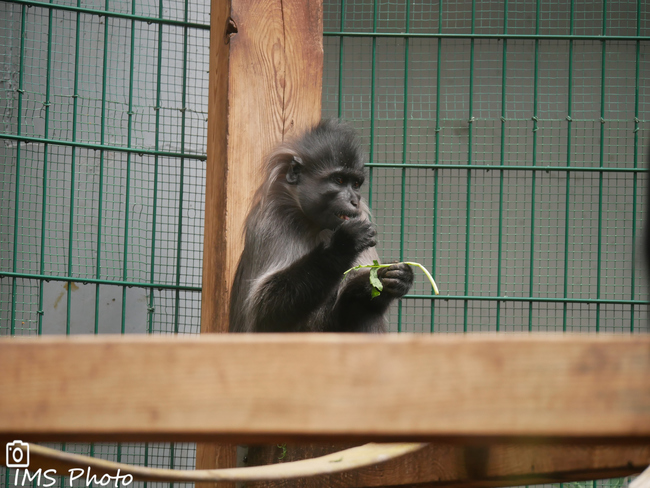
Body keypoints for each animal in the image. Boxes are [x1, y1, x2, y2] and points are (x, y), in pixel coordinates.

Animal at [228, 119, 410, 332]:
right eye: (339, 180)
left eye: (356, 184)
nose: (354, 201)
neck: (314, 225)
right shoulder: (272, 220)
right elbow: (263, 314)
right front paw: (343, 245)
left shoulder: (362, 215)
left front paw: (395, 278)